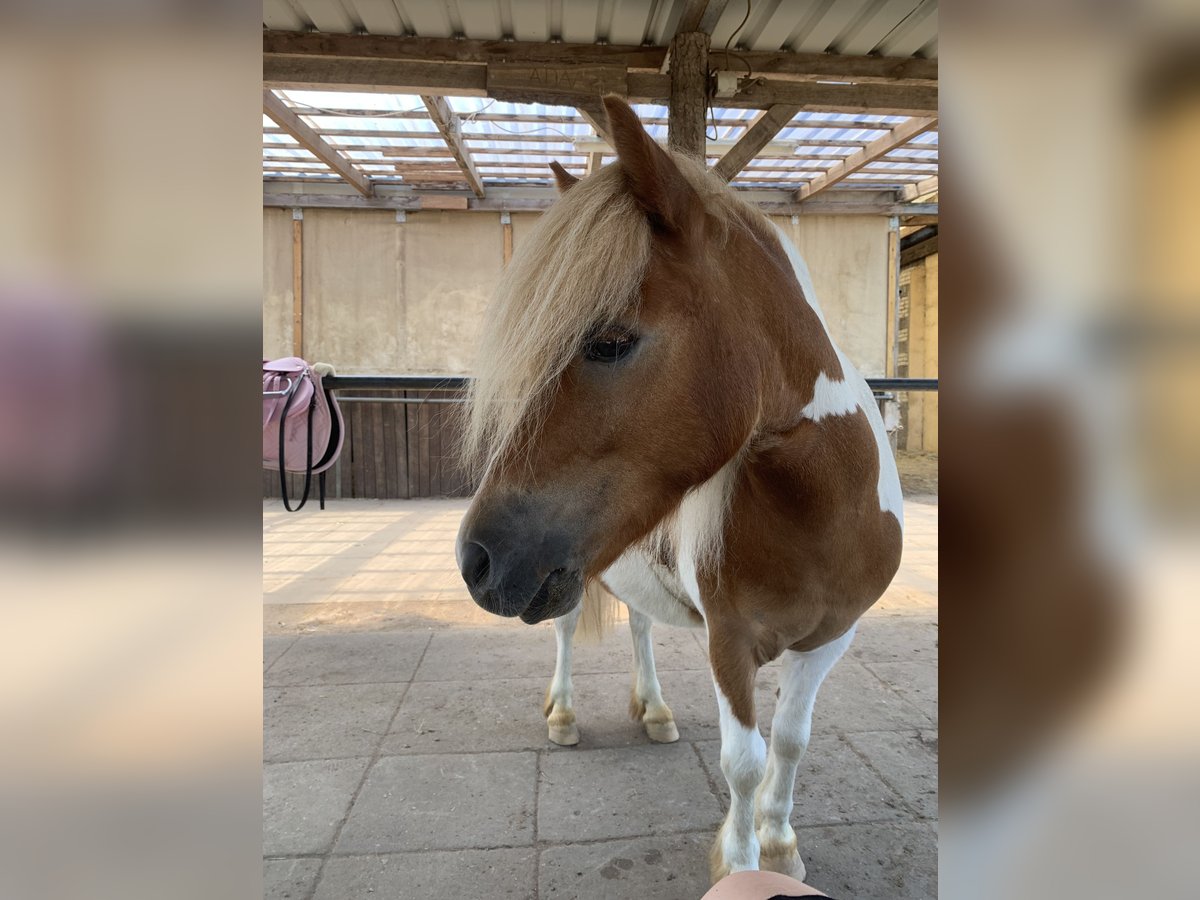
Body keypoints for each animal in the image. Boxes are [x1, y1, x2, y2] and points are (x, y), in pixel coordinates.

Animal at [456, 97, 902, 883]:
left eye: (607, 342)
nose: (476, 560)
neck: (821, 509)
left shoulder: (830, 640)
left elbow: (790, 742)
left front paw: (780, 847)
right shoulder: (731, 642)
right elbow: (744, 760)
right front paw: (743, 862)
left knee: (639, 627)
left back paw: (655, 710)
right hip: (571, 579)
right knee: (568, 633)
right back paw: (564, 714)